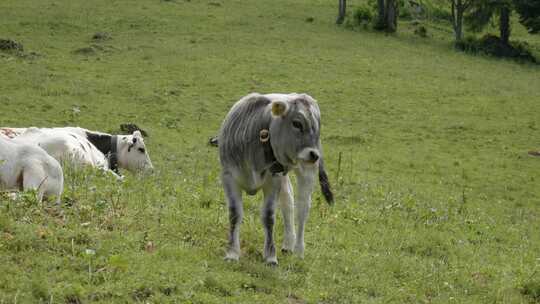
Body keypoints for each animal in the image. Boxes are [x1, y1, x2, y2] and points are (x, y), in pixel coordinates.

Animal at [219, 92, 334, 264]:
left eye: (317, 126)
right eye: (297, 123)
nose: (314, 154)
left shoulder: (273, 181)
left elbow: (268, 216)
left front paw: (270, 256)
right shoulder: (229, 177)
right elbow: (234, 214)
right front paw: (232, 253)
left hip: (305, 171)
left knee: (302, 209)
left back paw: (299, 250)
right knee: (288, 203)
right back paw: (288, 244)